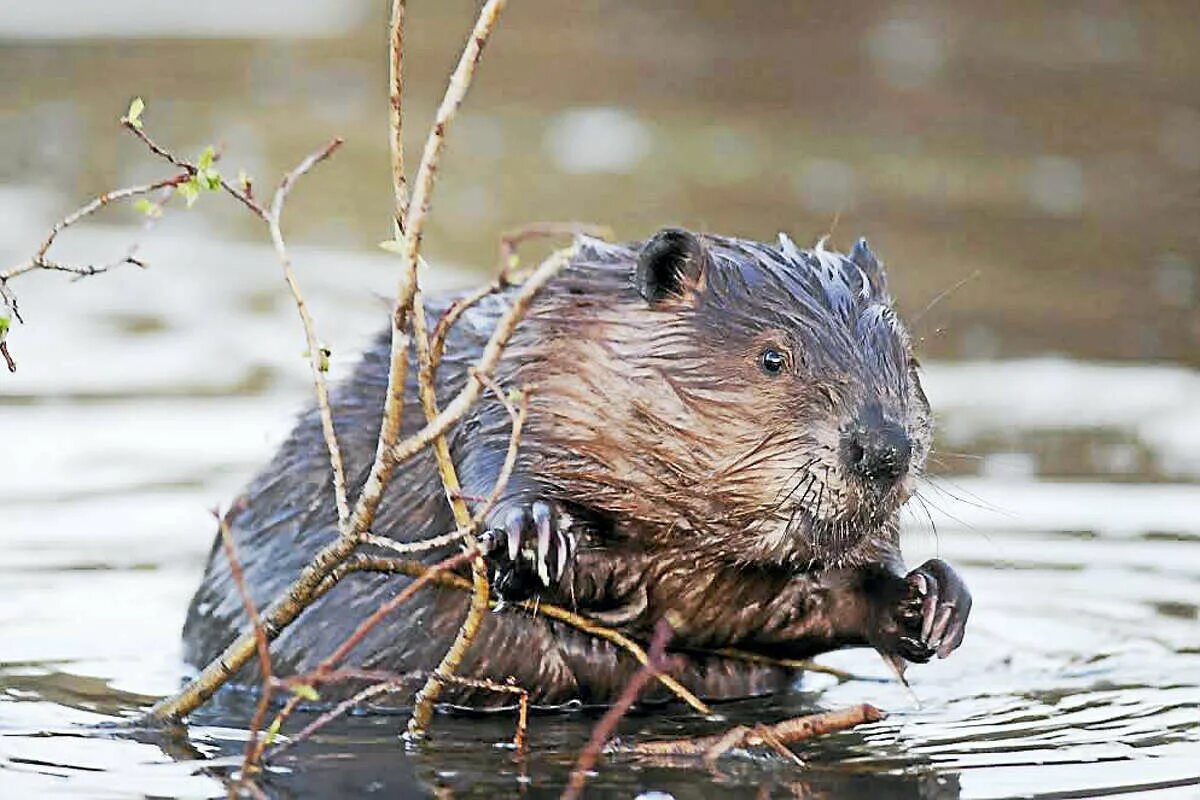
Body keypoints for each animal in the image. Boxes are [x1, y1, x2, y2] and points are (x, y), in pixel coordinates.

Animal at [184, 230, 974, 705]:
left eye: (907, 359)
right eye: (774, 357)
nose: (884, 449)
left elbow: (830, 596)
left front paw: (933, 600)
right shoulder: (523, 370)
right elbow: (491, 467)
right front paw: (535, 535)